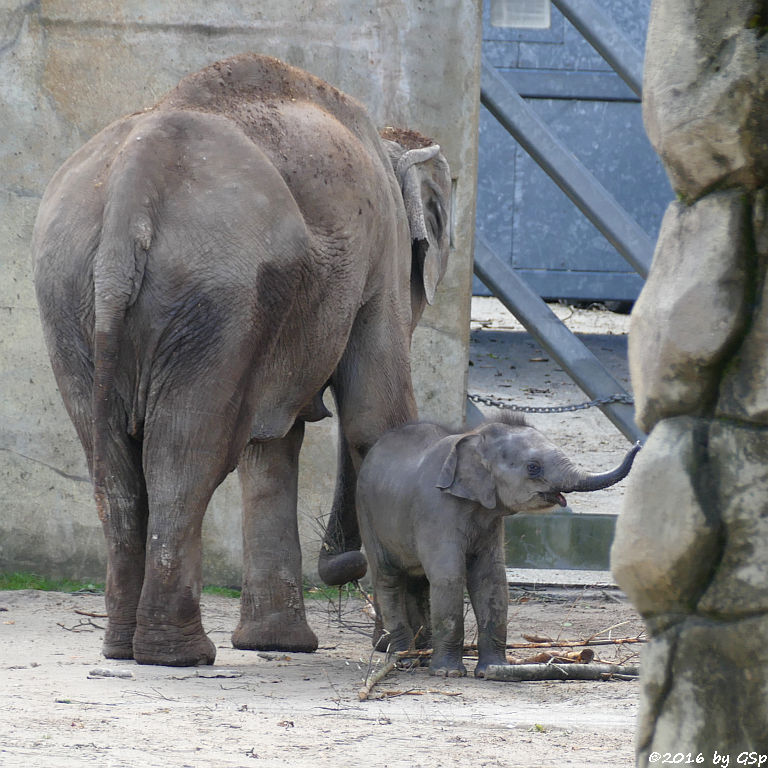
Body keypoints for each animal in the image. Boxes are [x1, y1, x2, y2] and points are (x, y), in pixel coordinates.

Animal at [33, 54, 450, 664]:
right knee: (186, 453)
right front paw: (407, 652)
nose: (342, 564)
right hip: (215, 293)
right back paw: (180, 653)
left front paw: (277, 645)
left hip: (74, 293)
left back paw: (125, 647)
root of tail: (133, 185)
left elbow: (270, 445)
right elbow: (377, 418)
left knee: (114, 462)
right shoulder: (383, 254)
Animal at [356, 414, 640, 680]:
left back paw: (422, 657)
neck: (473, 438)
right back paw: (404, 660)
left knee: (418, 584)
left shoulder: (490, 521)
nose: (638, 444)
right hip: (368, 516)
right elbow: (449, 577)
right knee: (388, 578)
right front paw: (448, 673)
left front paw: (493, 670)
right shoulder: (436, 510)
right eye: (533, 467)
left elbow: (491, 578)